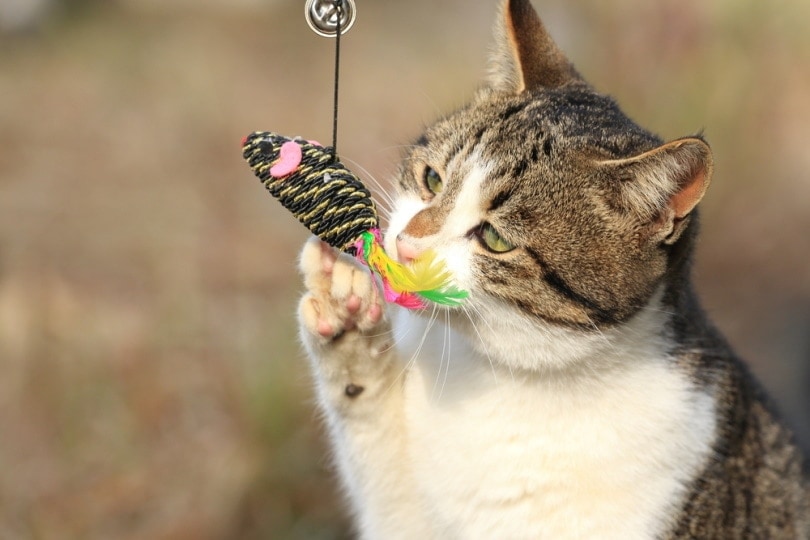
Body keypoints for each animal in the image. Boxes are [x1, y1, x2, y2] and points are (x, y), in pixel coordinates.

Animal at [296, 0, 808, 536]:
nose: (406, 244)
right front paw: (346, 317)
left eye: (496, 239)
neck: (508, 375)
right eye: (432, 179)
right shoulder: (404, 517)